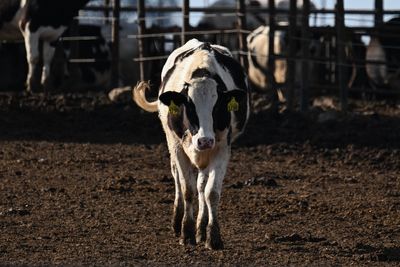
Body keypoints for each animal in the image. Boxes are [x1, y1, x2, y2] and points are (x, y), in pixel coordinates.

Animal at [134, 38, 250, 250]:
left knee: (201, 186)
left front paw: (212, 236)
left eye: (218, 107)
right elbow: (187, 189)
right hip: (172, 143)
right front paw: (186, 233)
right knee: (178, 179)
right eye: (189, 105)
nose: (205, 140)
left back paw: (201, 229)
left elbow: (211, 192)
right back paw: (177, 223)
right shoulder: (178, 147)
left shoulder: (222, 148)